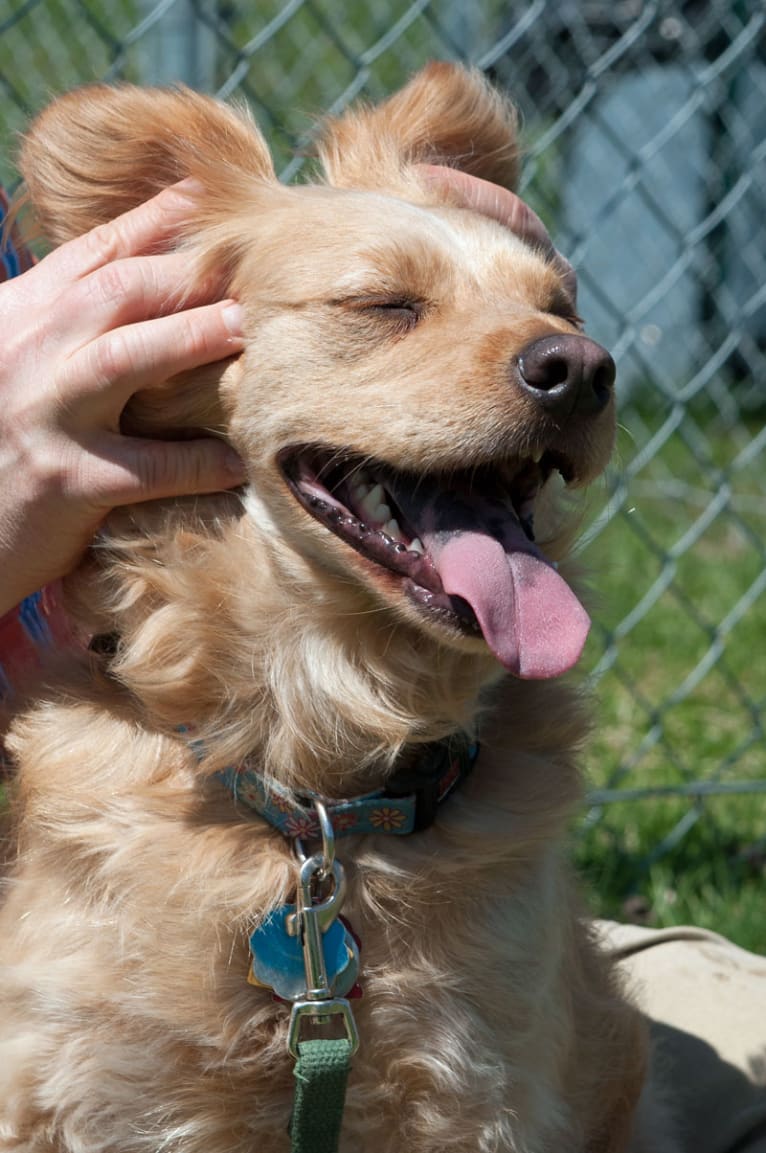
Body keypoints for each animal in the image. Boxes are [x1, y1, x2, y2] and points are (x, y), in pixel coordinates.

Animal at [0, 65, 669, 1153]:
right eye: (386, 303)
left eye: (562, 307)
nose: (583, 369)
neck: (317, 795)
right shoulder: (75, 1083)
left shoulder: (479, 1087)